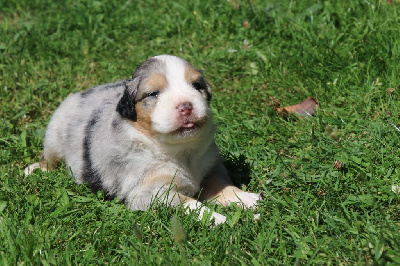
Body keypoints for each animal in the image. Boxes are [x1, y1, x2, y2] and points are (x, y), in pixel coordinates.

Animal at [25, 55, 262, 223]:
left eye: (197, 86)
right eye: (153, 94)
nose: (186, 105)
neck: (179, 151)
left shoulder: (211, 165)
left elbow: (221, 185)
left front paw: (248, 198)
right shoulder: (148, 192)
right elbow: (188, 202)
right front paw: (216, 218)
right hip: (55, 134)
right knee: (50, 159)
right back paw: (35, 170)